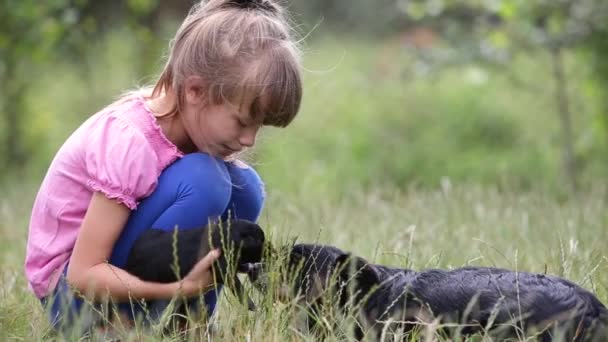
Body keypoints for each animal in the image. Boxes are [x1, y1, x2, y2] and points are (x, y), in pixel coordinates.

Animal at [124, 219, 264, 312]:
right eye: (259, 241)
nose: (266, 253)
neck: (222, 235)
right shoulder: (221, 267)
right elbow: (236, 284)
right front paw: (251, 304)